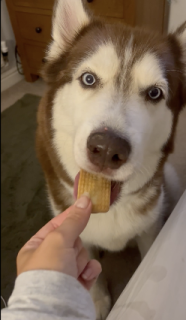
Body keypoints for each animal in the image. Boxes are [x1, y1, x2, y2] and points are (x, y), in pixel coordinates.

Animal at [36, 0, 185, 318]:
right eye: (88, 79)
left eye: (154, 93)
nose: (106, 149)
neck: (110, 209)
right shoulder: (78, 237)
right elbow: (93, 277)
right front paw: (97, 302)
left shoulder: (149, 230)